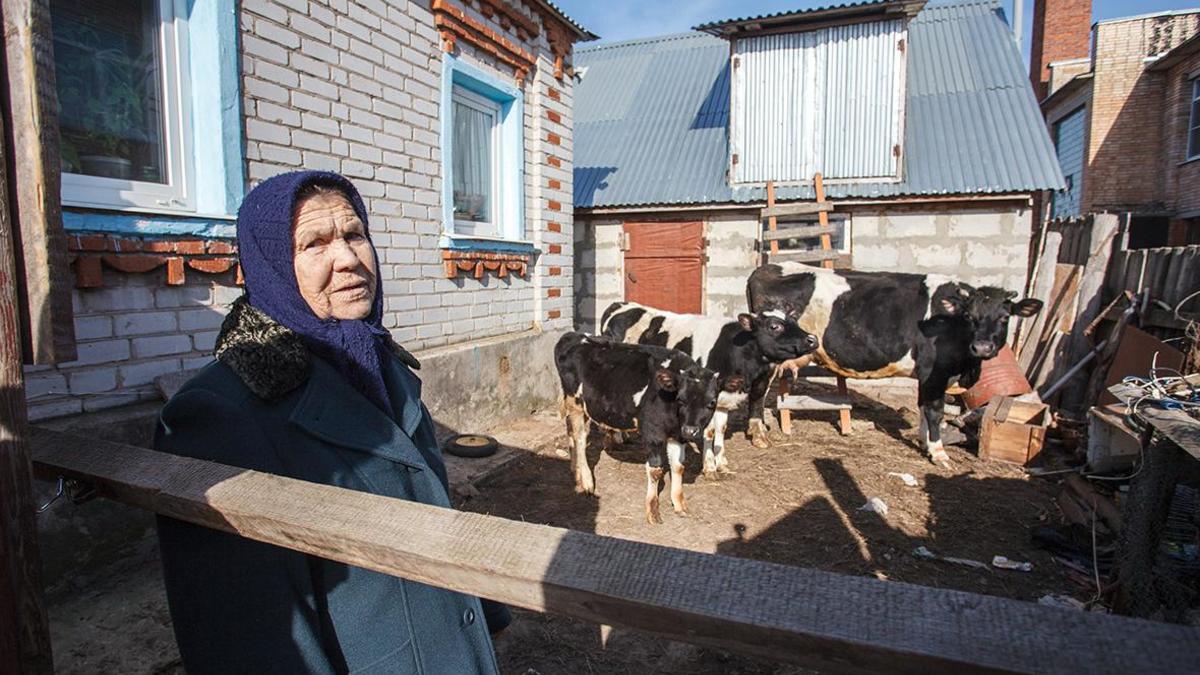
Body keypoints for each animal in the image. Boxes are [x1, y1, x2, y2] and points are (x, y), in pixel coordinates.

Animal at [552, 331, 729, 521]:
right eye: (681, 399)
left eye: (712, 403)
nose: (691, 430)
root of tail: (572, 334)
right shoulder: (653, 432)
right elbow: (655, 470)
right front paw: (652, 510)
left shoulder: (678, 435)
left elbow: (678, 467)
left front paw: (679, 504)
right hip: (576, 402)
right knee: (580, 439)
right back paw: (586, 482)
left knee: (570, 431)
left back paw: (575, 471)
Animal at [604, 299, 820, 473]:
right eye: (774, 326)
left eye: (794, 321)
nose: (813, 339)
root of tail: (620, 304)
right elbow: (708, 431)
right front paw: (709, 467)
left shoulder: (724, 399)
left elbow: (721, 430)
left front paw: (722, 462)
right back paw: (614, 439)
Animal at [748, 260, 1041, 466]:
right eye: (969, 316)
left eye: (1005, 317)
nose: (982, 347)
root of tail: (768, 267)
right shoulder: (936, 371)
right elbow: (935, 411)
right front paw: (938, 452)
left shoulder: (926, 375)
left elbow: (922, 406)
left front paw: (924, 442)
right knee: (758, 393)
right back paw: (758, 433)